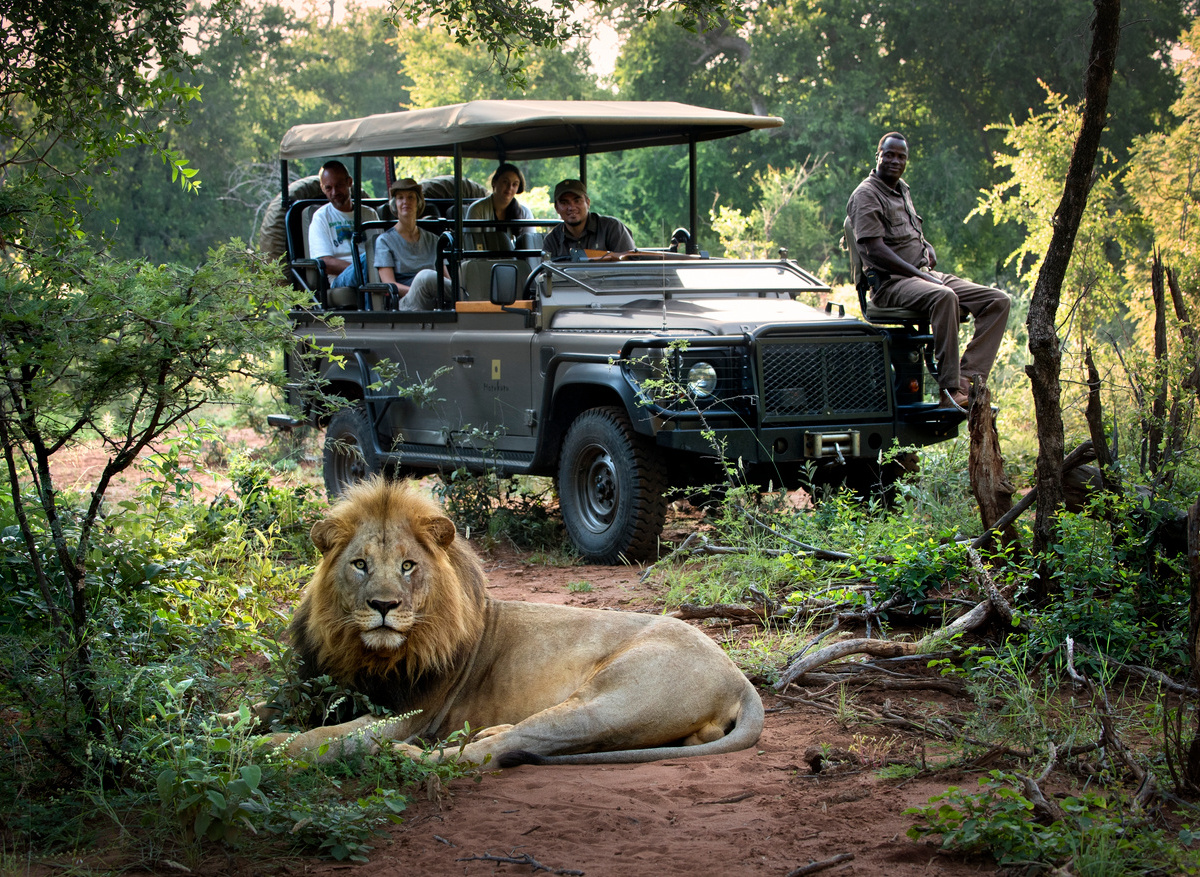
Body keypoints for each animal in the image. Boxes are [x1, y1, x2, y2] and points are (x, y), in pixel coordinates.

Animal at [243, 477, 763, 767]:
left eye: (408, 565)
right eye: (360, 565)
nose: (384, 605)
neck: (364, 654)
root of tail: (739, 677)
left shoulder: (407, 716)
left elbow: (317, 740)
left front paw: (260, 750)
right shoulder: (321, 686)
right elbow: (255, 709)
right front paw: (228, 726)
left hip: (608, 702)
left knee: (495, 751)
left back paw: (416, 757)